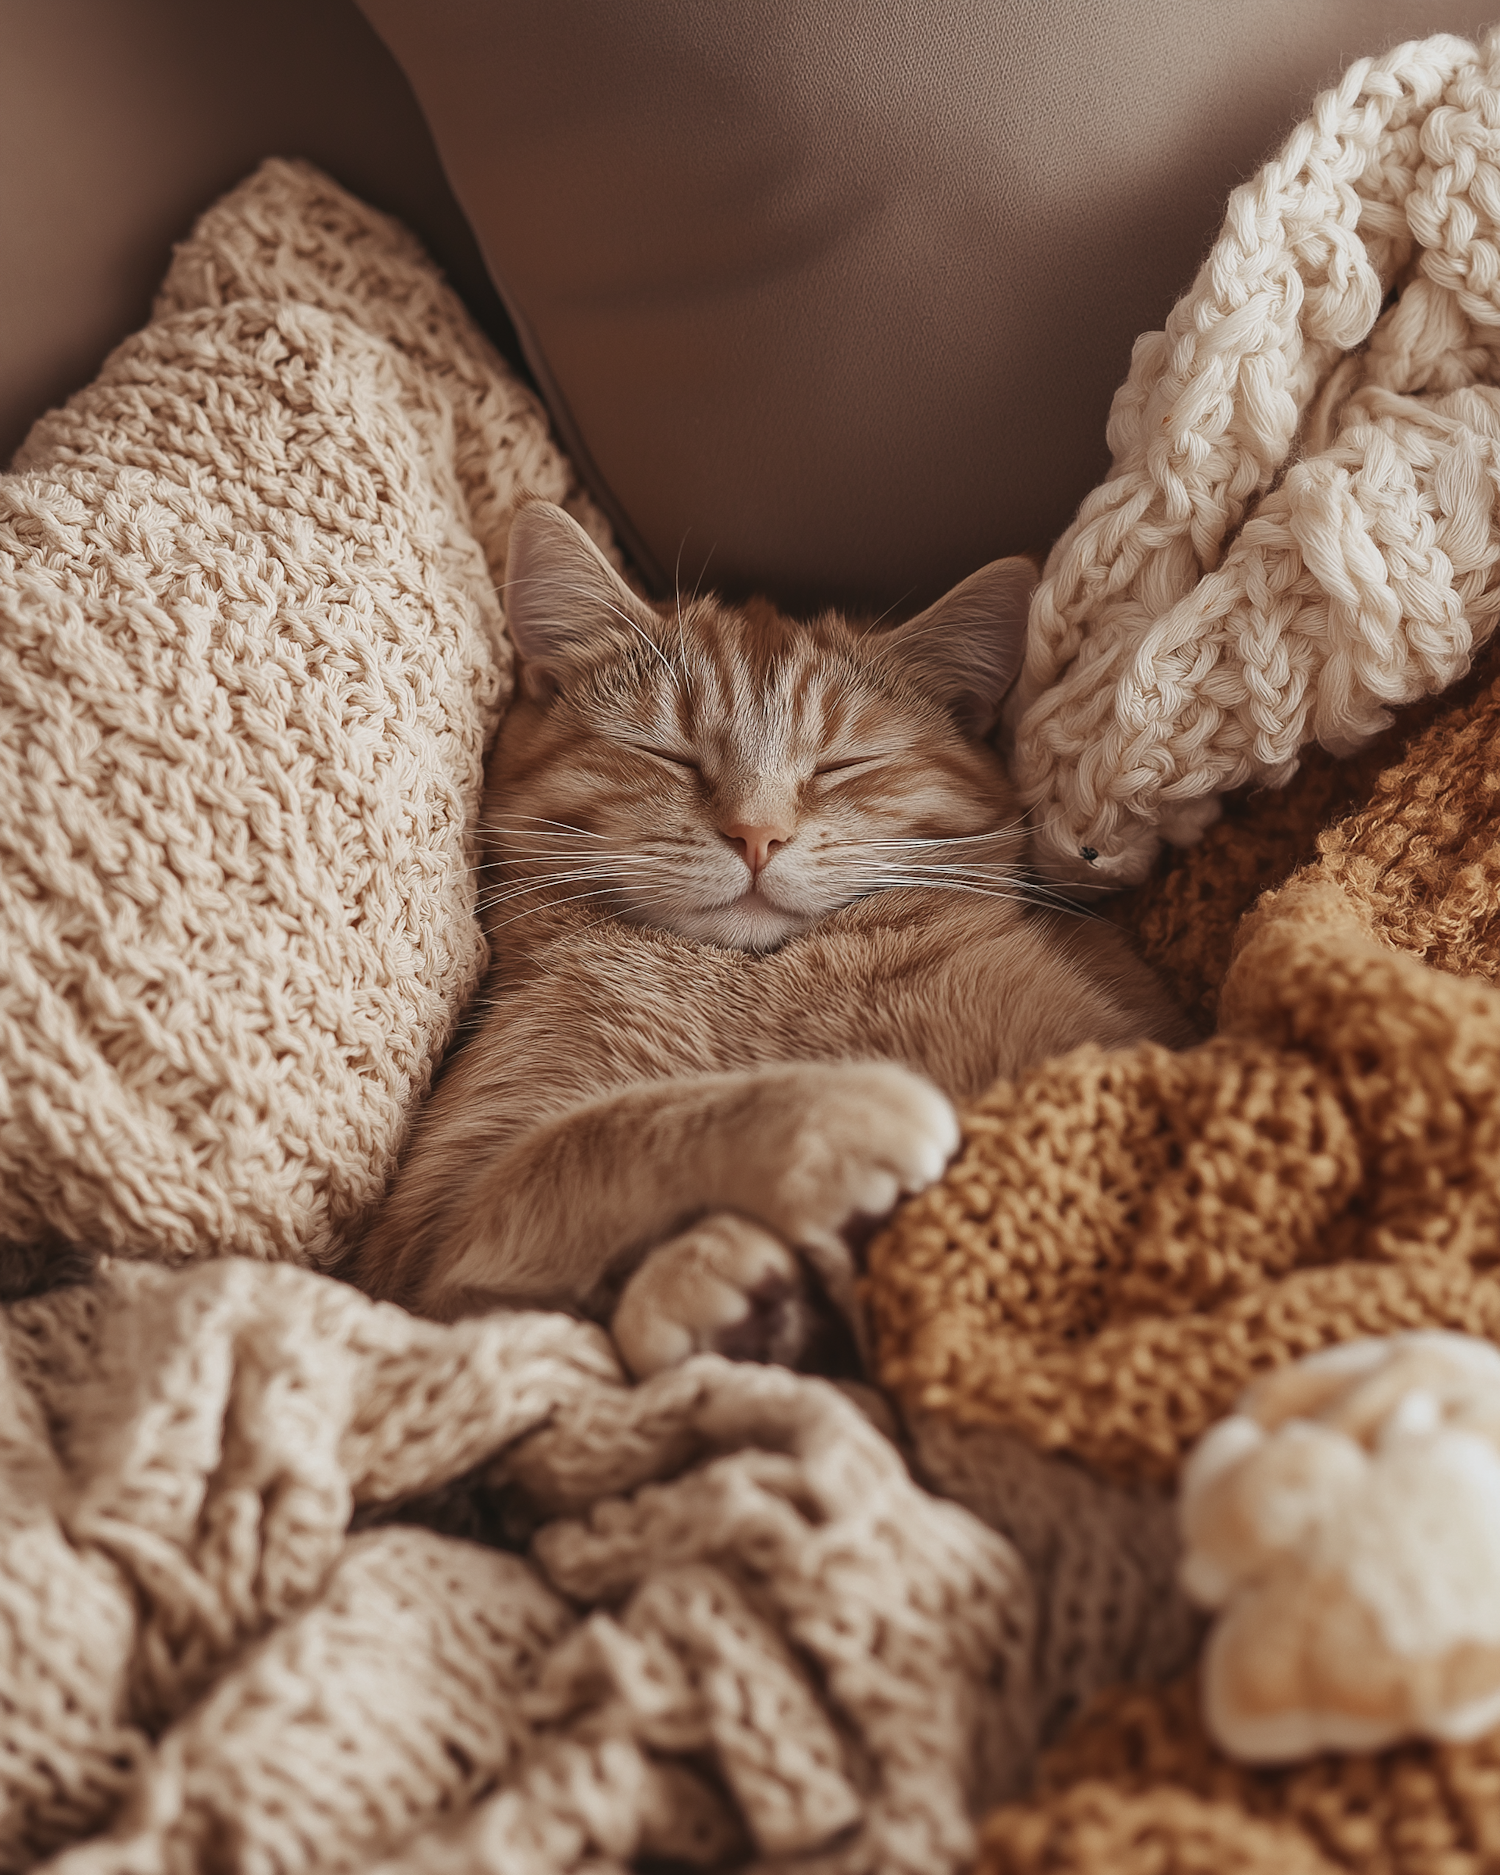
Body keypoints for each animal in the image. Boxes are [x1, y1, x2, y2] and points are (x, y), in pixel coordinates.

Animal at [354, 498, 1192, 1380]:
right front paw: (831, 1126)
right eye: (670, 754)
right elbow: (602, 1131)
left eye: (842, 765)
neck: (755, 978)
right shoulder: (423, 1254)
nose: (756, 835)